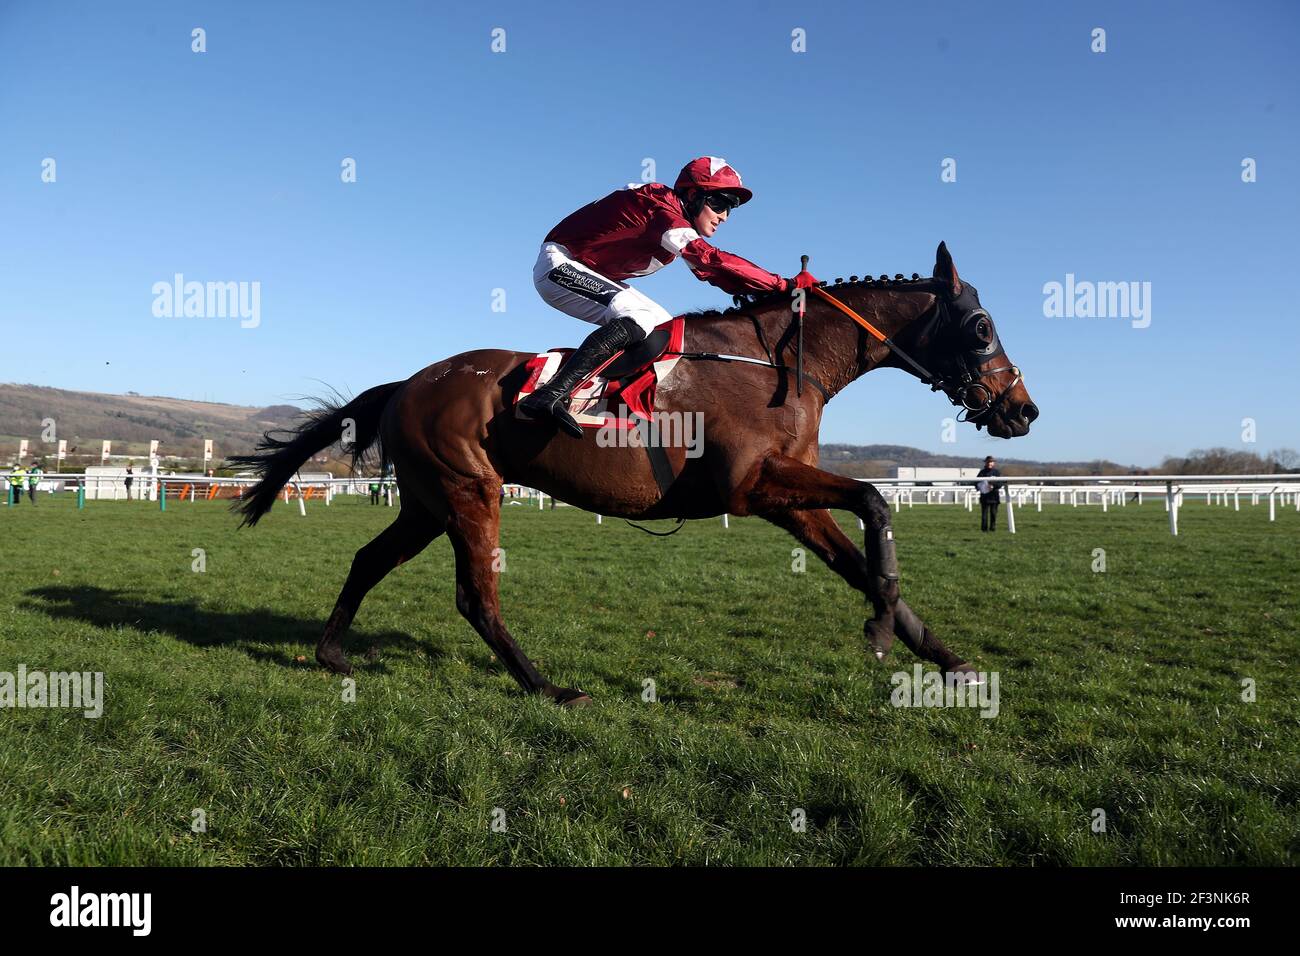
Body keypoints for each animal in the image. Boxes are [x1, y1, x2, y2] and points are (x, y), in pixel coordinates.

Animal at [236, 244, 1034, 712]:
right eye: (982, 327)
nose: (1022, 409)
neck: (779, 361)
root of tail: (407, 382)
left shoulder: (789, 495)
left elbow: (864, 557)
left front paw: (948, 660)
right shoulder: (752, 487)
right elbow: (873, 501)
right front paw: (879, 631)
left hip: (430, 501)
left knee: (370, 558)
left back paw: (331, 653)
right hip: (469, 491)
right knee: (474, 596)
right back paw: (546, 685)